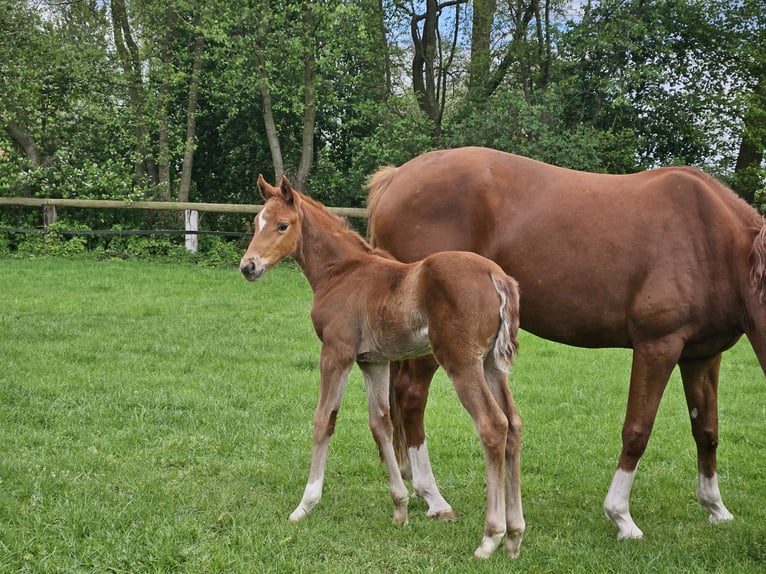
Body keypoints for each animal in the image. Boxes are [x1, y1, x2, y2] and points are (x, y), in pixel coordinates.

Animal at [242, 174, 528, 560]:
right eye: (256, 222)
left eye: (282, 225)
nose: (248, 267)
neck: (342, 273)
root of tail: (494, 274)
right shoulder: (373, 362)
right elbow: (381, 424)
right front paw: (400, 508)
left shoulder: (337, 353)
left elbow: (323, 421)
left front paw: (304, 505)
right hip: (491, 364)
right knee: (513, 425)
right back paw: (514, 536)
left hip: (460, 361)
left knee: (492, 425)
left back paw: (490, 537)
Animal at [368, 146, 766, 544]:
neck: (709, 241)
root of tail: (397, 177)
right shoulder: (658, 347)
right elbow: (637, 430)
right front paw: (621, 516)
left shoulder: (703, 356)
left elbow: (707, 431)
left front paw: (716, 508)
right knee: (411, 396)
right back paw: (434, 498)